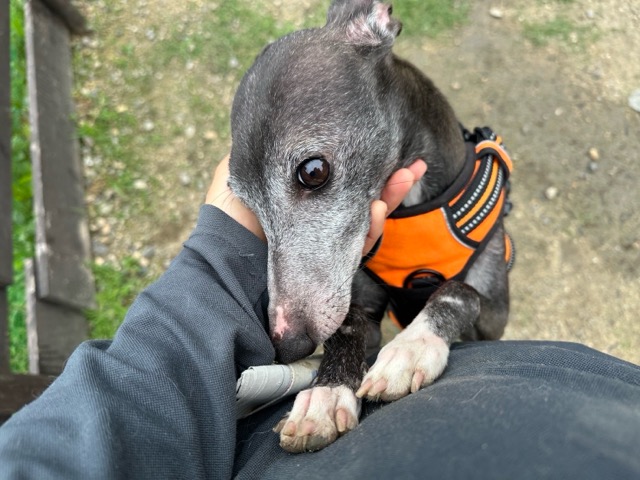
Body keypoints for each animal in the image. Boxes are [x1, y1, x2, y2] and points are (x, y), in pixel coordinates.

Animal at [228, 0, 513, 453]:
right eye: (246, 204)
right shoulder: (359, 305)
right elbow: (347, 328)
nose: (288, 344)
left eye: (313, 171)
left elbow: (459, 291)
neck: (416, 210)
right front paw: (326, 395)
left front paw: (412, 347)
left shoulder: (493, 322)